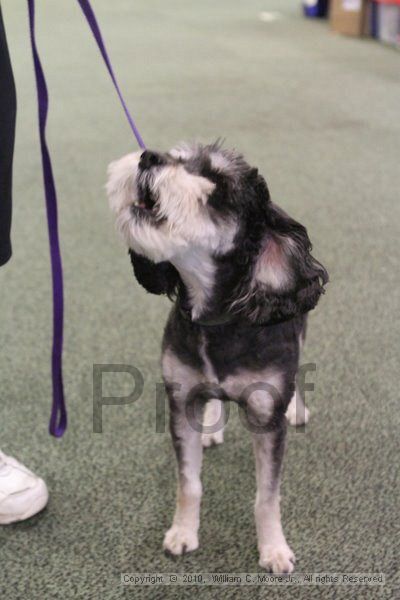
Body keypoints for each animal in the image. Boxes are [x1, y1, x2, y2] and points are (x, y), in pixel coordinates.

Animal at [107, 143, 328, 576]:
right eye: (178, 157)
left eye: (219, 185)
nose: (148, 157)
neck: (219, 320)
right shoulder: (182, 402)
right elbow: (189, 483)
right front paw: (183, 532)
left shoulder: (266, 419)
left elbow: (266, 496)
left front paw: (274, 549)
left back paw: (296, 407)